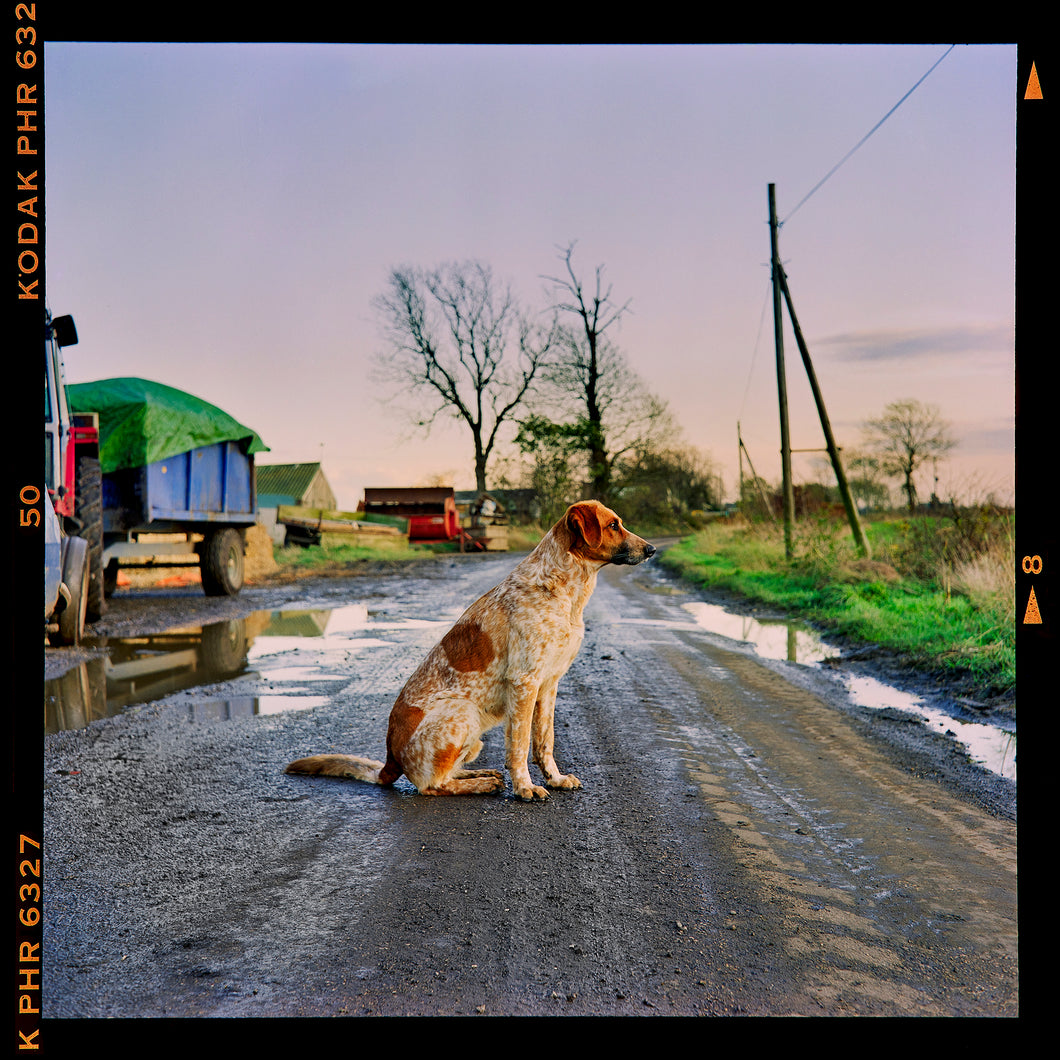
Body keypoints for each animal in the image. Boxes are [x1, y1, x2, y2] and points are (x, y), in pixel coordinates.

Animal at [286, 500, 657, 797]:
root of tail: (390, 761)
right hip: (462, 712)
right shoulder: (525, 683)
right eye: (613, 525)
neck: (563, 591)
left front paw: (554, 779)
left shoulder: (549, 684)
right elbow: (520, 746)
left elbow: (544, 742)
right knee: (431, 785)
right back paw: (480, 785)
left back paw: (481, 774)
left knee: (447, 773)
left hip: (474, 734)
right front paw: (525, 788)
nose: (652, 549)